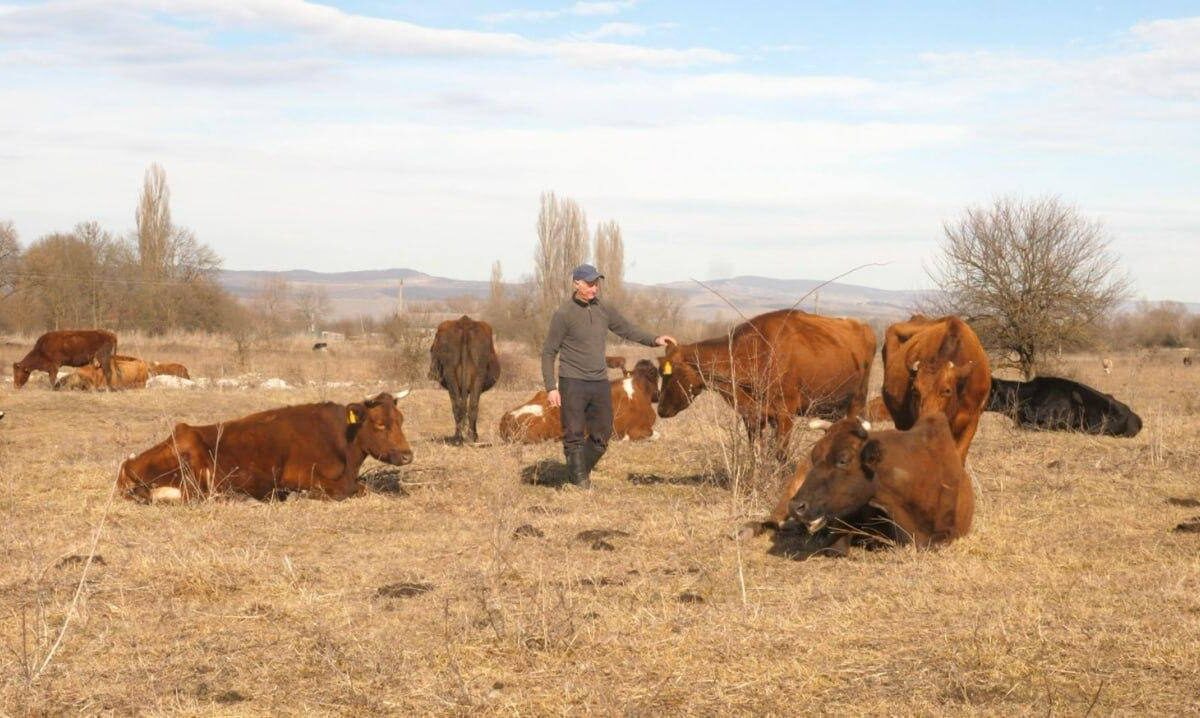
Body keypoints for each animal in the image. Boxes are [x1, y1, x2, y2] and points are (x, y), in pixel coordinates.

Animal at [117, 391, 413, 503]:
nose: (407, 456)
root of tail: (127, 466)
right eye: (380, 424)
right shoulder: (304, 475)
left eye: (401, 420)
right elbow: (353, 489)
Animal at [429, 316, 500, 445]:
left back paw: (460, 437)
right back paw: (469, 437)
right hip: (477, 374)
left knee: (460, 406)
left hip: (451, 374)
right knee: (471, 406)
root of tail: (465, 324)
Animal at [657, 309, 875, 456]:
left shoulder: (785, 413)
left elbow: (780, 453)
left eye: (668, 373)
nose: (660, 409)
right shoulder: (753, 414)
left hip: (857, 400)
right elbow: (756, 451)